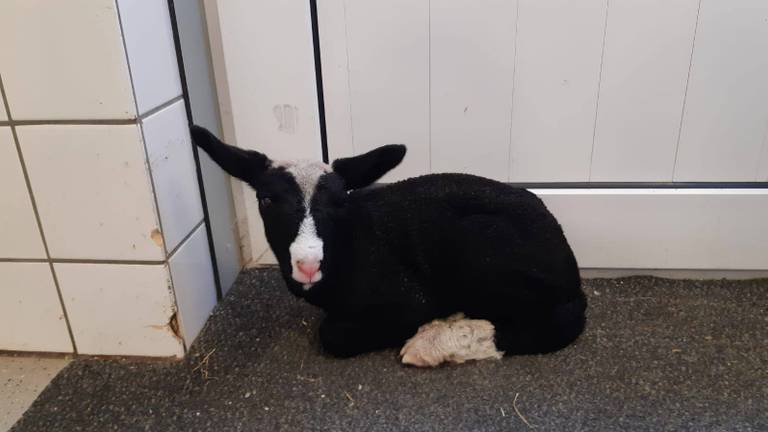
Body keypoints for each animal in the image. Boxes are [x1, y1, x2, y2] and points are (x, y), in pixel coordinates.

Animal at [192, 125, 588, 368]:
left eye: (339, 201)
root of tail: (567, 260)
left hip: (481, 257)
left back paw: (434, 343)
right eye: (265, 199)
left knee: (557, 322)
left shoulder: (411, 302)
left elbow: (333, 334)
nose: (307, 264)